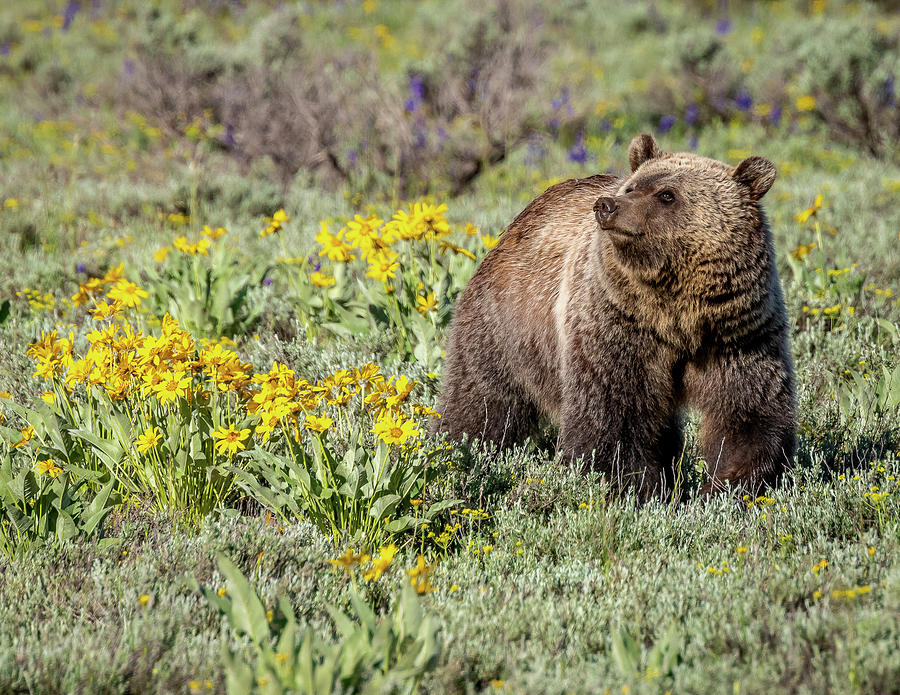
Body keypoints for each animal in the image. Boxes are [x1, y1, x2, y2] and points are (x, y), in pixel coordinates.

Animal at [436, 133, 796, 498]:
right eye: (631, 187)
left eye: (667, 194)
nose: (607, 205)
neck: (679, 311)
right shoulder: (617, 322)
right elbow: (613, 409)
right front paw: (632, 484)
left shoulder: (738, 333)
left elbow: (747, 408)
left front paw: (732, 485)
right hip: (506, 323)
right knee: (483, 398)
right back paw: (458, 448)